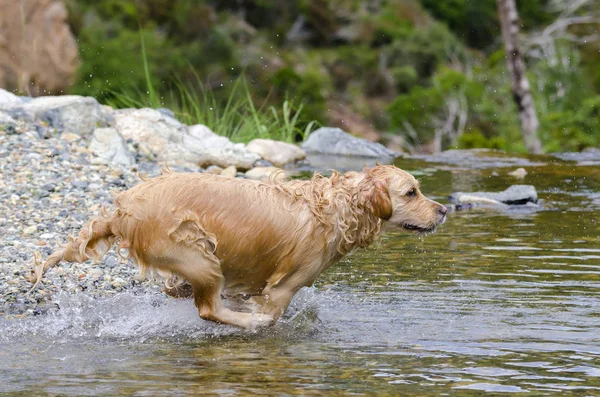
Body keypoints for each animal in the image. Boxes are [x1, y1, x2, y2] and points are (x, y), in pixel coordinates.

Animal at [31, 164, 446, 328]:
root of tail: (123, 211)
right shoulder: (283, 287)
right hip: (199, 254)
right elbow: (272, 309)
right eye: (412, 192)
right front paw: (257, 317)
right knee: (208, 310)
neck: (339, 206)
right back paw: (248, 323)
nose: (444, 210)